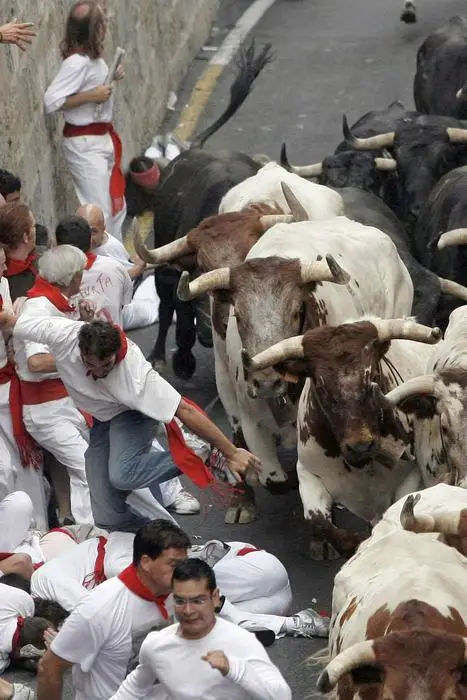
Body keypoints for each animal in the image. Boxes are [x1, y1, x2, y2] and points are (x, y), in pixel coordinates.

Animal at [247, 318, 440, 556]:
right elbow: (319, 522)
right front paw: (353, 541)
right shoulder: (309, 474)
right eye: (320, 386)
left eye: (373, 376)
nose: (361, 446)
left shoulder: (410, 478)